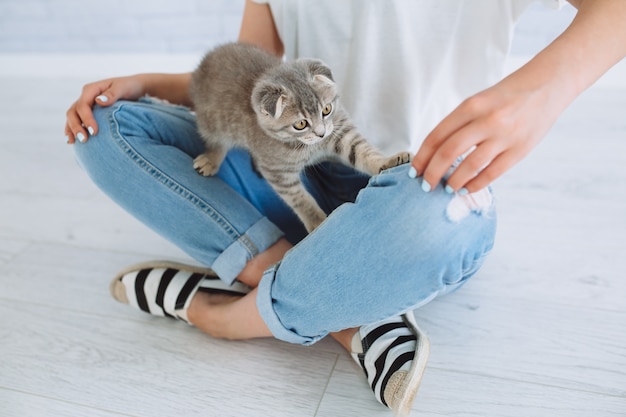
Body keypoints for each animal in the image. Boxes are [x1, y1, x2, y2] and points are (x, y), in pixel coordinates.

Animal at [186, 43, 410, 232]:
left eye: (326, 110)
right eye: (301, 124)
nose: (321, 133)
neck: (309, 145)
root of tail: (205, 60)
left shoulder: (341, 132)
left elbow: (363, 152)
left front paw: (387, 161)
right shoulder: (279, 172)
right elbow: (301, 200)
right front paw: (318, 222)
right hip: (211, 122)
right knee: (216, 141)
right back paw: (211, 159)